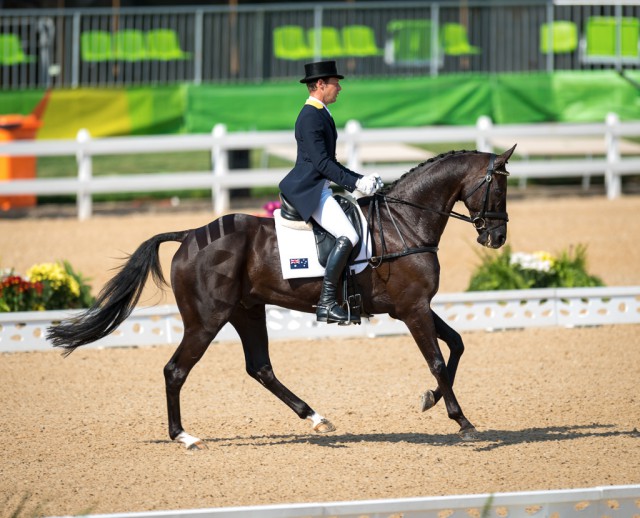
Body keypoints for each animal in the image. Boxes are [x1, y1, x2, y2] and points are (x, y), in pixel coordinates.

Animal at [47, 145, 516, 450]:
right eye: (498, 188)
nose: (496, 238)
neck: (405, 222)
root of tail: (191, 235)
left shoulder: (413, 308)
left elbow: (456, 344)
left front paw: (431, 399)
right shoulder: (413, 308)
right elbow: (436, 359)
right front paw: (462, 421)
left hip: (247, 311)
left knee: (260, 368)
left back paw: (316, 418)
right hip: (206, 320)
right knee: (175, 370)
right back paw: (184, 436)